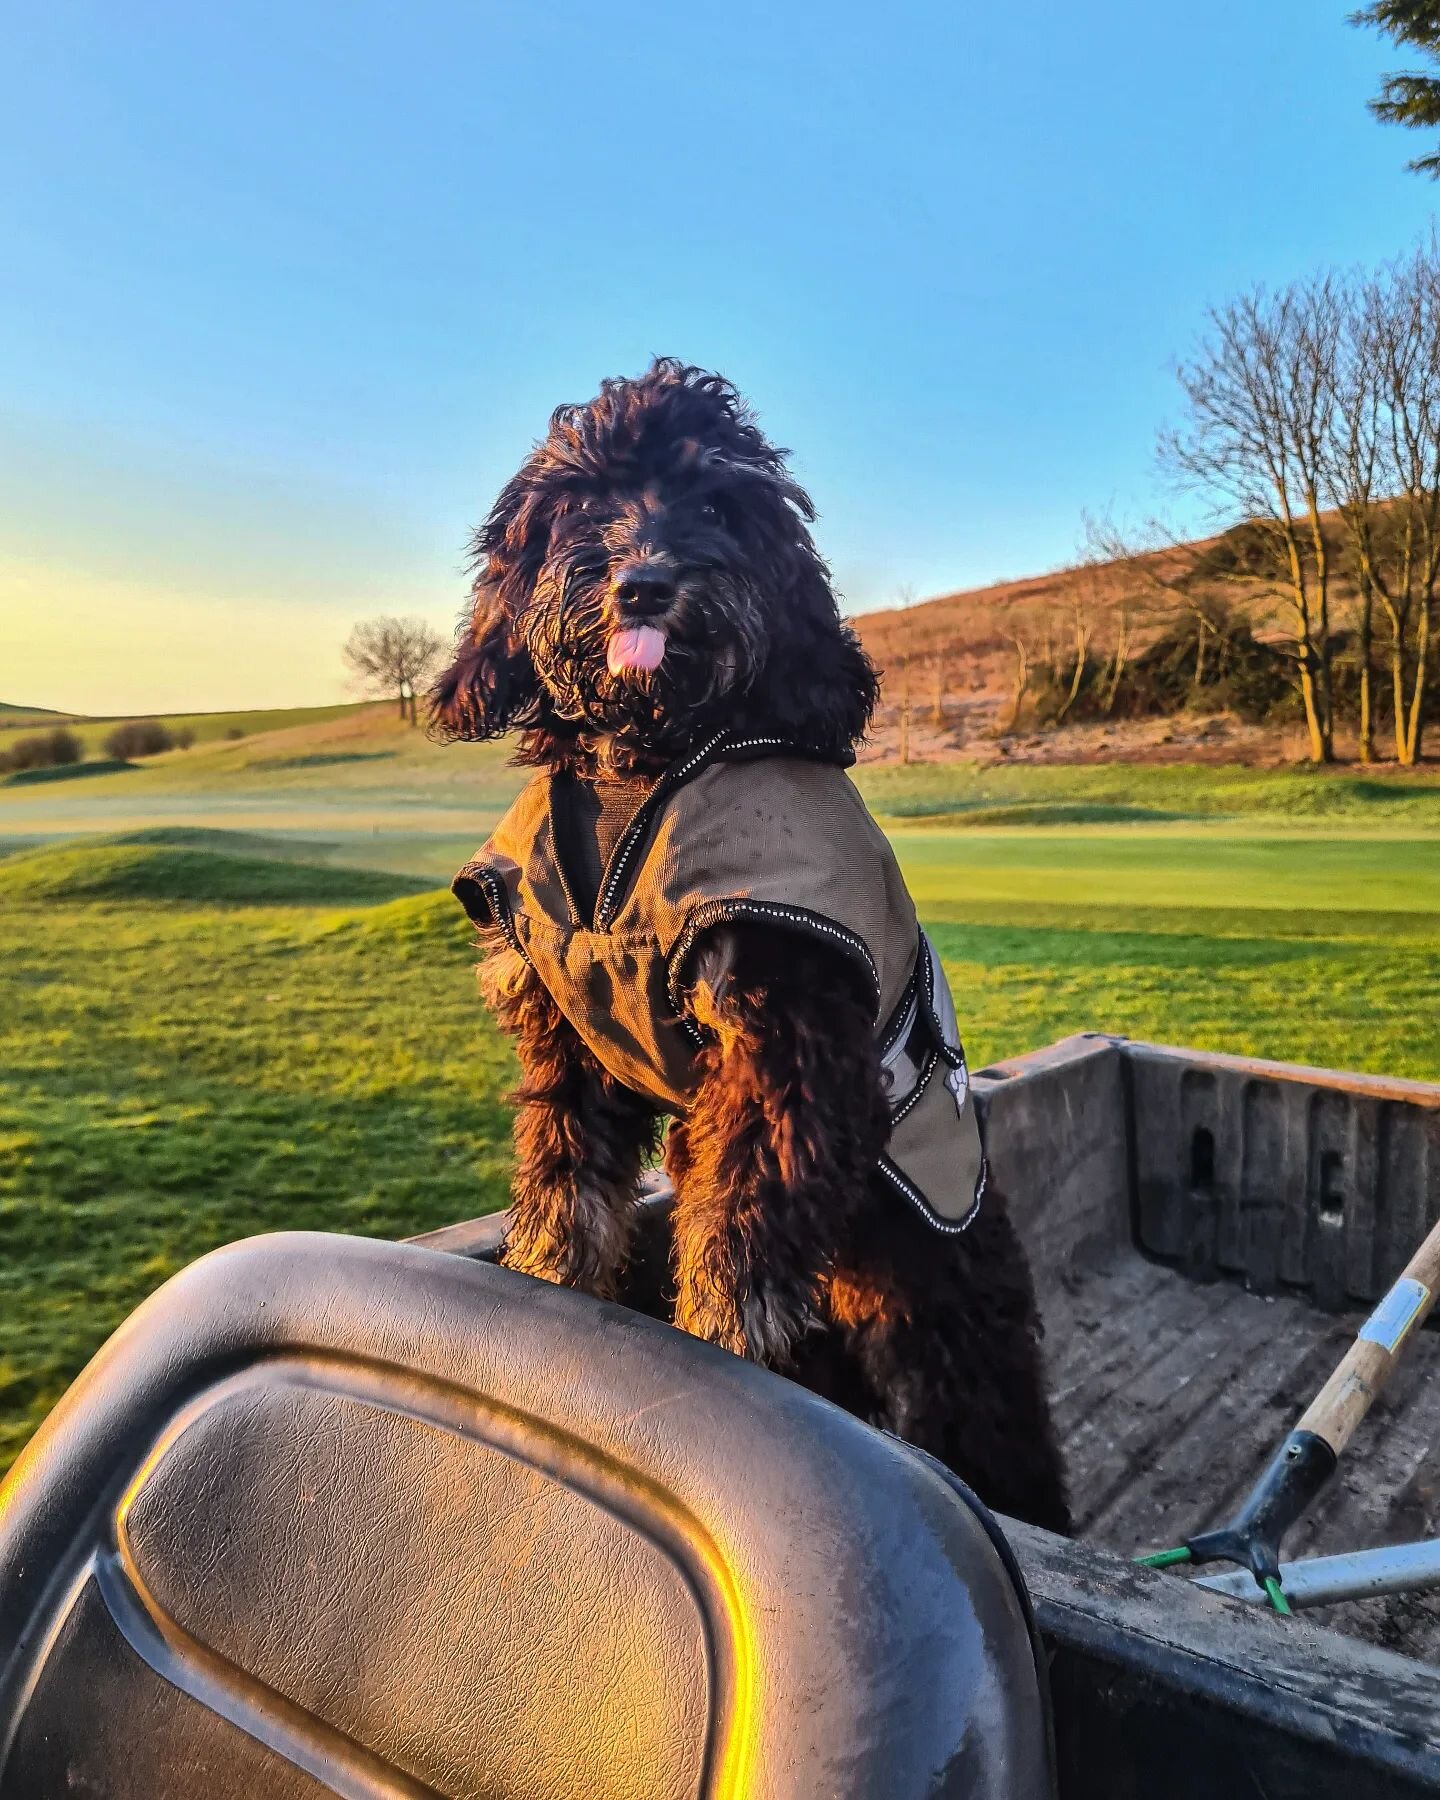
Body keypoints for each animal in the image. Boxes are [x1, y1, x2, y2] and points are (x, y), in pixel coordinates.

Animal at [435, 358, 1065, 1526]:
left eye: (720, 505)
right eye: (586, 502)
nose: (643, 584)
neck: (645, 761)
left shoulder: (784, 1053)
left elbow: (737, 1247)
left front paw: (717, 1364)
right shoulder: (570, 1044)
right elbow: (567, 1190)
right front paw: (544, 1290)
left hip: (943, 1305)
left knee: (989, 1429)